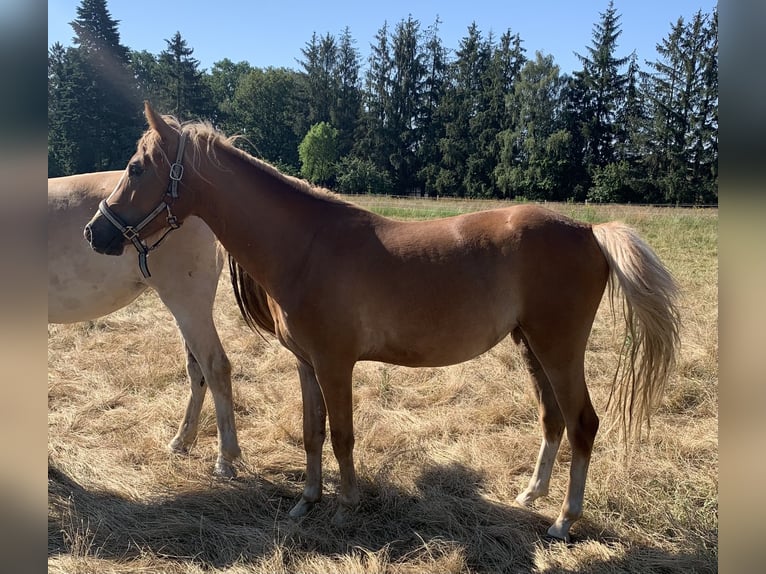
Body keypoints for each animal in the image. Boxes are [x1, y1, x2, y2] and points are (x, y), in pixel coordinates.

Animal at [85, 104, 684, 544]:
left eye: (135, 168)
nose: (97, 232)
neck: (307, 246)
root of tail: (587, 230)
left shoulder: (335, 364)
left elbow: (342, 436)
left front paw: (346, 507)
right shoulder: (307, 365)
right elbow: (312, 432)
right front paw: (307, 502)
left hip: (559, 350)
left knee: (582, 423)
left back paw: (564, 520)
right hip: (530, 347)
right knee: (552, 419)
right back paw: (532, 495)